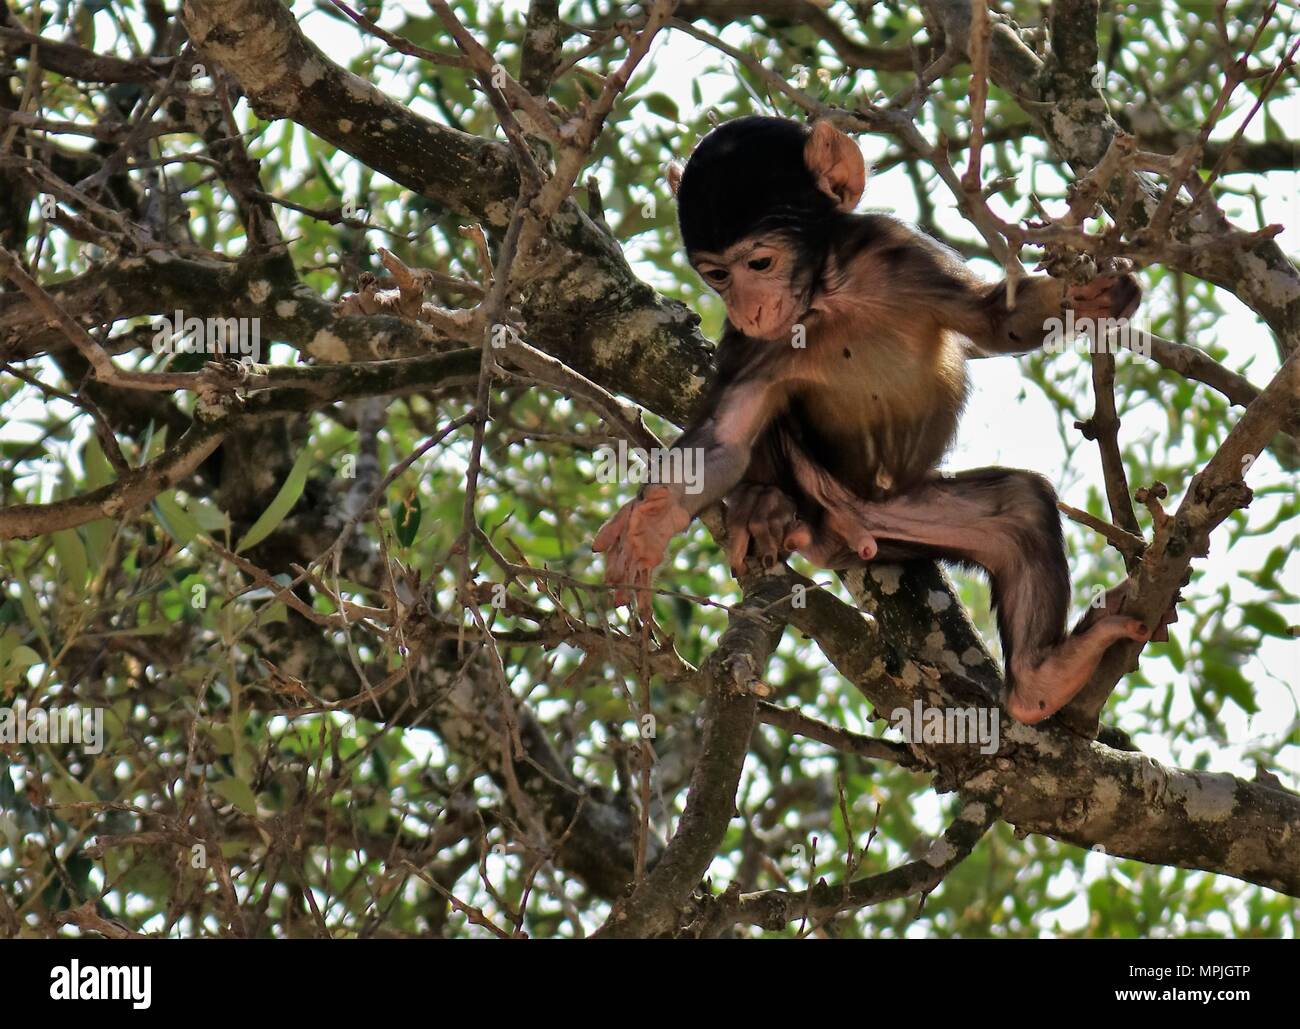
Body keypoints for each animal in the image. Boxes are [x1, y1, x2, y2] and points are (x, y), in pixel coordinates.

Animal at [594, 115, 1156, 725]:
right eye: (717, 275)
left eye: (759, 263)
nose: (747, 307)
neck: (830, 293)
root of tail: (840, 531)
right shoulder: (756, 345)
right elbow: (725, 439)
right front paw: (654, 520)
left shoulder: (899, 251)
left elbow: (994, 320)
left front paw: (1097, 296)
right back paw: (765, 506)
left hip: (901, 518)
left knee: (1019, 513)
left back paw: (1042, 679)